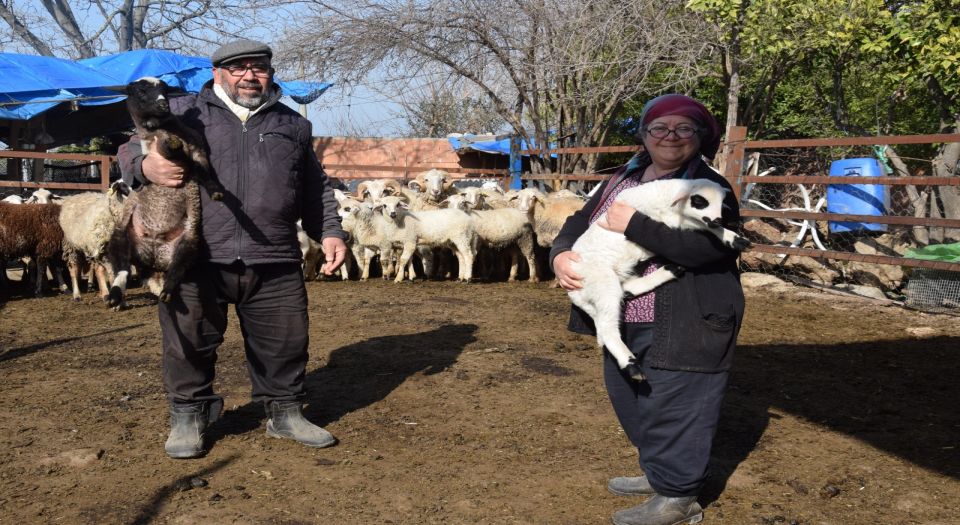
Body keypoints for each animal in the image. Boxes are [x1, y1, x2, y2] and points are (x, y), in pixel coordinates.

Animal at [568, 177, 752, 380]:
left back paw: (671, 270)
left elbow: (706, 226)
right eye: (699, 201)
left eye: (721, 202)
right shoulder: (670, 219)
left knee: (627, 290)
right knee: (608, 328)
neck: (667, 197)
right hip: (603, 282)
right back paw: (632, 366)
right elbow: (703, 226)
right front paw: (733, 238)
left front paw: (737, 239)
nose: (718, 218)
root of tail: (575, 295)